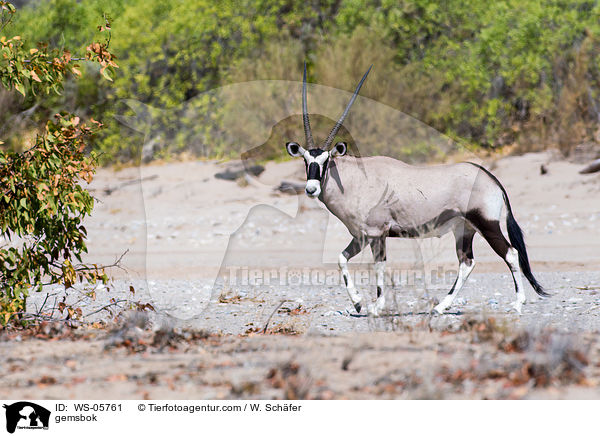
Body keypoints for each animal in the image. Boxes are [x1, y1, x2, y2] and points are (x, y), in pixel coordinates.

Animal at [286, 64, 548, 316]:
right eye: (306, 160)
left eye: (326, 161)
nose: (311, 188)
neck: (355, 180)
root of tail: (491, 178)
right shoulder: (362, 236)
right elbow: (342, 259)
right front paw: (358, 303)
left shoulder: (377, 234)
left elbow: (379, 266)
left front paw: (376, 307)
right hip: (464, 229)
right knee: (467, 262)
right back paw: (441, 306)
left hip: (487, 224)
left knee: (510, 253)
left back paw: (517, 304)